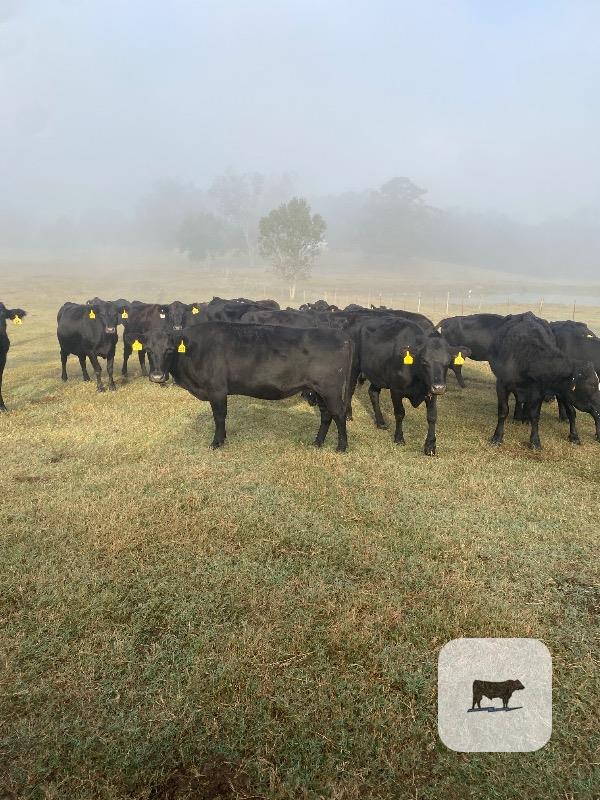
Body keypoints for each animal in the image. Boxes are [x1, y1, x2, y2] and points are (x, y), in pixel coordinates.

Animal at [136, 322, 353, 451]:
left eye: (169, 349)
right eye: (148, 350)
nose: (157, 376)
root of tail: (341, 335)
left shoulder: (217, 390)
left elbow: (219, 417)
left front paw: (217, 442)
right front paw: (222, 438)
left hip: (330, 390)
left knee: (339, 414)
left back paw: (341, 447)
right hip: (318, 390)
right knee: (326, 415)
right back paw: (317, 442)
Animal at [346, 317, 470, 455]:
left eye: (448, 362)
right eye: (424, 361)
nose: (439, 387)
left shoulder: (431, 392)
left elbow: (432, 416)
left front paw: (430, 445)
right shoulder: (396, 390)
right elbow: (400, 413)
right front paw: (399, 438)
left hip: (377, 373)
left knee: (373, 393)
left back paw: (381, 422)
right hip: (353, 367)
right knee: (350, 390)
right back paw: (348, 415)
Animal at [489, 312, 600, 448]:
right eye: (592, 385)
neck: (526, 355)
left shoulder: (539, 390)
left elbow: (535, 415)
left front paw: (535, 441)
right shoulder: (501, 384)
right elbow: (503, 411)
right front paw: (497, 437)